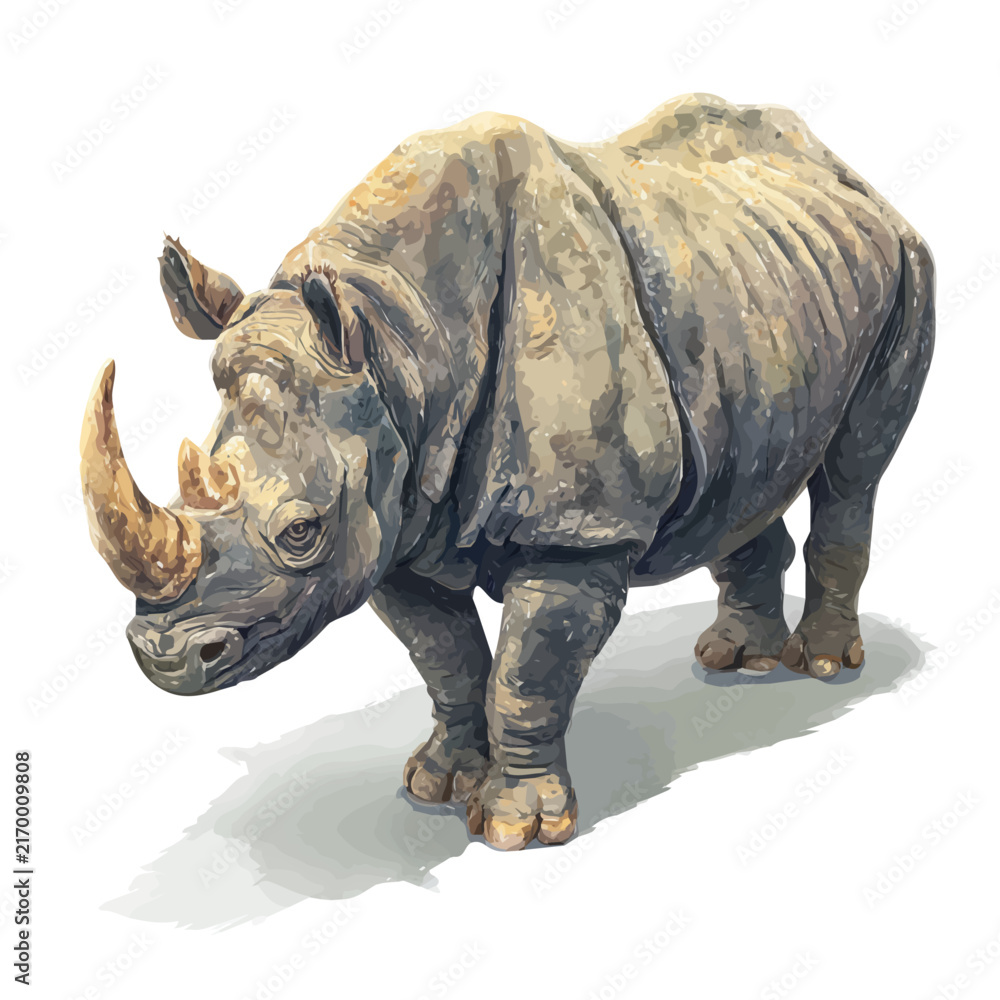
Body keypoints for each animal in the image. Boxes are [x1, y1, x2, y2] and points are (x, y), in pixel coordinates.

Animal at [80, 93, 934, 851]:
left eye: (299, 532)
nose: (165, 657)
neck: (400, 342)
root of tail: (844, 171)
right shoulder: (393, 524)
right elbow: (448, 659)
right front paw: (435, 785)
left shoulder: (579, 530)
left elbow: (527, 671)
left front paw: (519, 830)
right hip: (759, 296)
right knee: (744, 470)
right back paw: (735, 661)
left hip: (906, 267)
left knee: (854, 472)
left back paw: (820, 666)